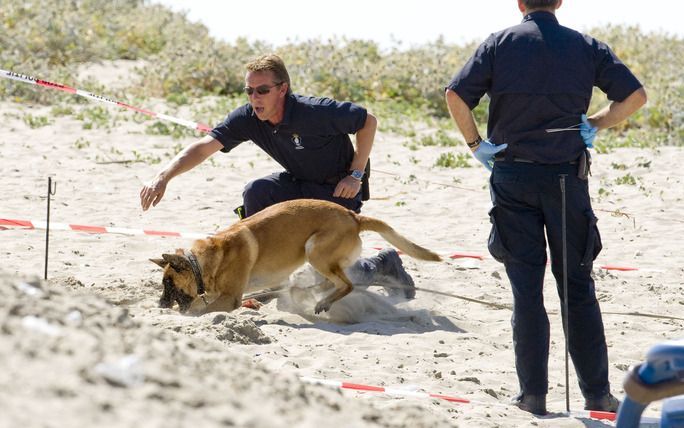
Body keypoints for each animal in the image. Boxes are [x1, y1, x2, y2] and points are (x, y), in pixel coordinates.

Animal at [150, 200, 440, 314]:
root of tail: (354, 217)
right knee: (333, 281)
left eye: (168, 284)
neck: (207, 261)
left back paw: (321, 301)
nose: (160, 305)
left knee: (346, 284)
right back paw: (306, 291)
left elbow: (200, 309)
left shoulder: (230, 298)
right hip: (319, 258)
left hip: (315, 250)